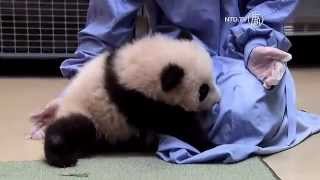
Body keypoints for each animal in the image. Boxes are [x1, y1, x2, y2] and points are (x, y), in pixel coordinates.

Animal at [44, 32, 220, 167]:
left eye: (213, 79)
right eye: (203, 90)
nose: (218, 100)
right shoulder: (135, 99)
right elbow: (177, 124)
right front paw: (209, 144)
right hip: (87, 113)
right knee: (74, 127)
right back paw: (62, 156)